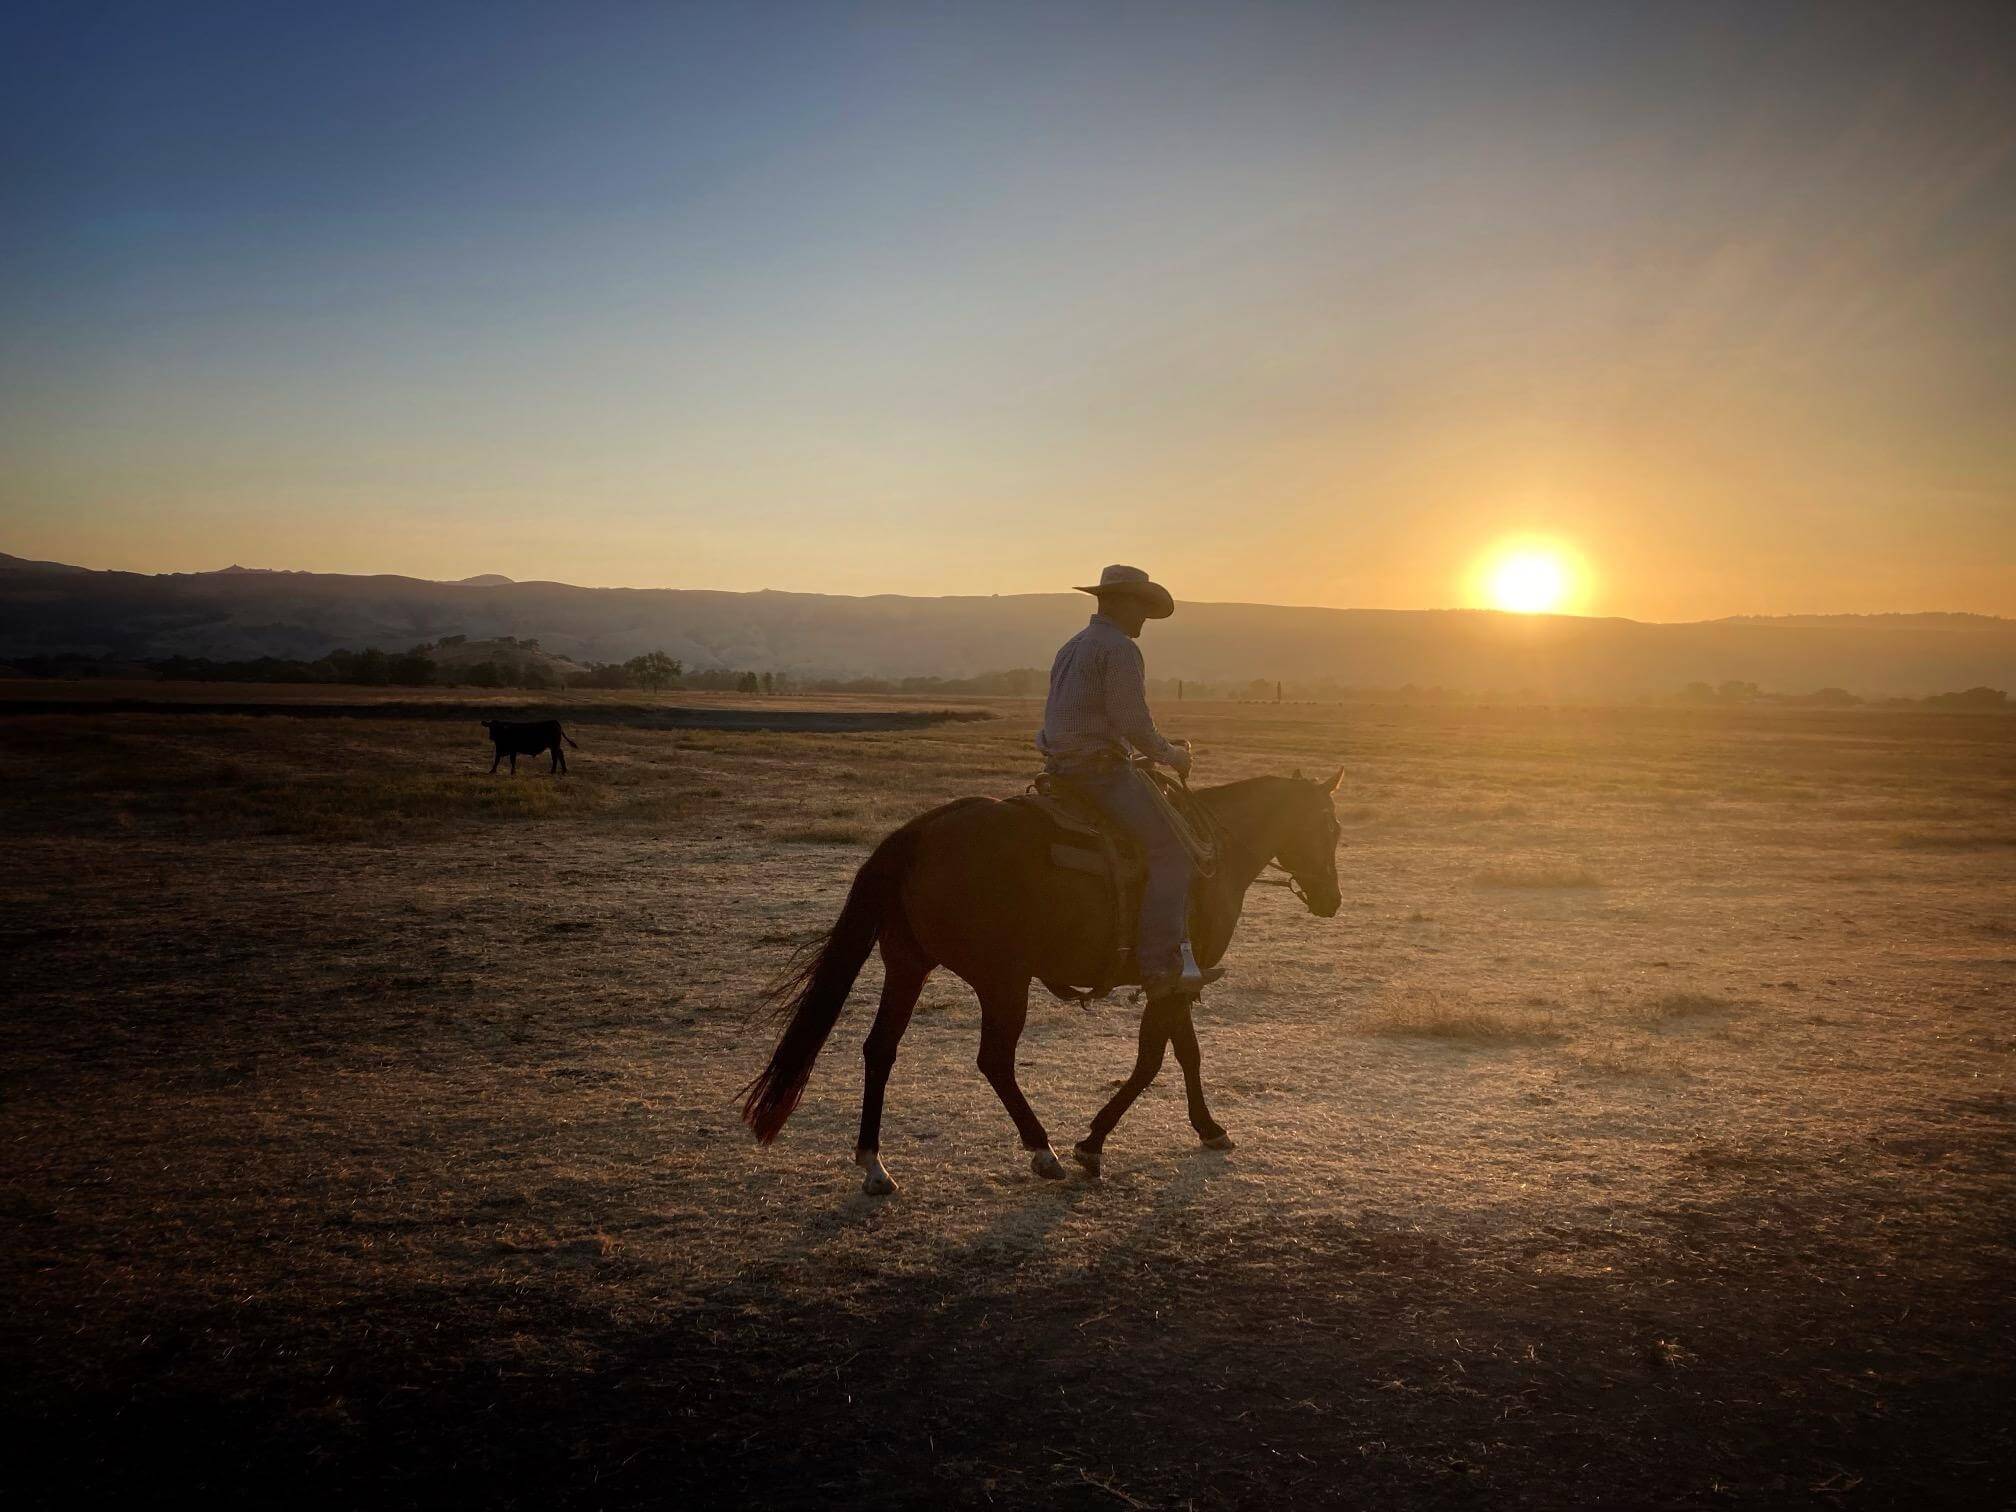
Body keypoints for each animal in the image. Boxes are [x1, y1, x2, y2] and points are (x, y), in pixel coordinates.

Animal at [741, 770, 1338, 1193]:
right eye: (1326, 829)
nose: (1332, 899)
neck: (1212, 851)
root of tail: (921, 833)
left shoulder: (1174, 982)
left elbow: (1181, 1052)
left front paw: (1205, 1127)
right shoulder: (1173, 978)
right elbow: (1156, 1058)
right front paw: (1096, 1142)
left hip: (907, 965)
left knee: (880, 1048)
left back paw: (873, 1164)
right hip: (1002, 979)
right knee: (994, 1060)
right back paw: (1041, 1150)